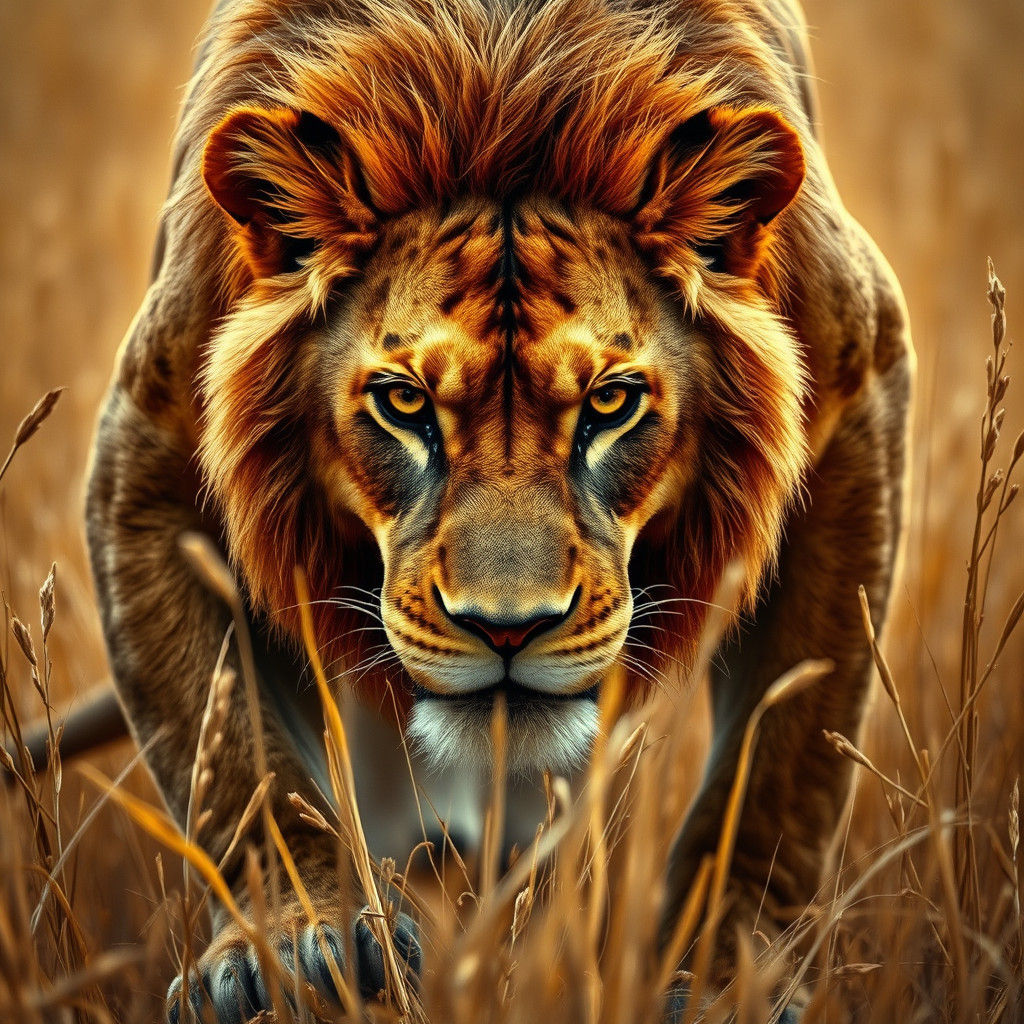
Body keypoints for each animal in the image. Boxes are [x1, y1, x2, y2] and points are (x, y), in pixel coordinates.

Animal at [81, 0, 912, 1019]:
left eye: (610, 402)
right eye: (403, 403)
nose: (507, 631)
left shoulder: (858, 378)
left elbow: (780, 772)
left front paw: (723, 976)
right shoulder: (147, 450)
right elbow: (232, 760)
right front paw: (300, 943)